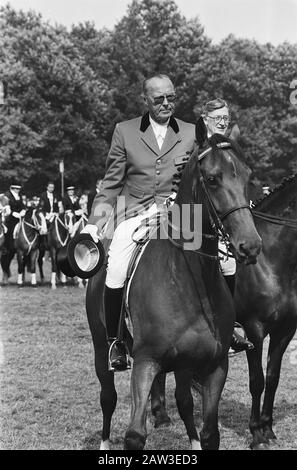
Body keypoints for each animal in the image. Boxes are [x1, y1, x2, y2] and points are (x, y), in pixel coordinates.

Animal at [85, 134, 262, 450]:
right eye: (212, 179)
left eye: (247, 176)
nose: (250, 246)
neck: (188, 282)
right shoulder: (146, 362)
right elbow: (135, 435)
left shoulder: (215, 365)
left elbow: (209, 432)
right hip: (101, 347)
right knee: (108, 398)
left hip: (184, 363)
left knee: (184, 403)